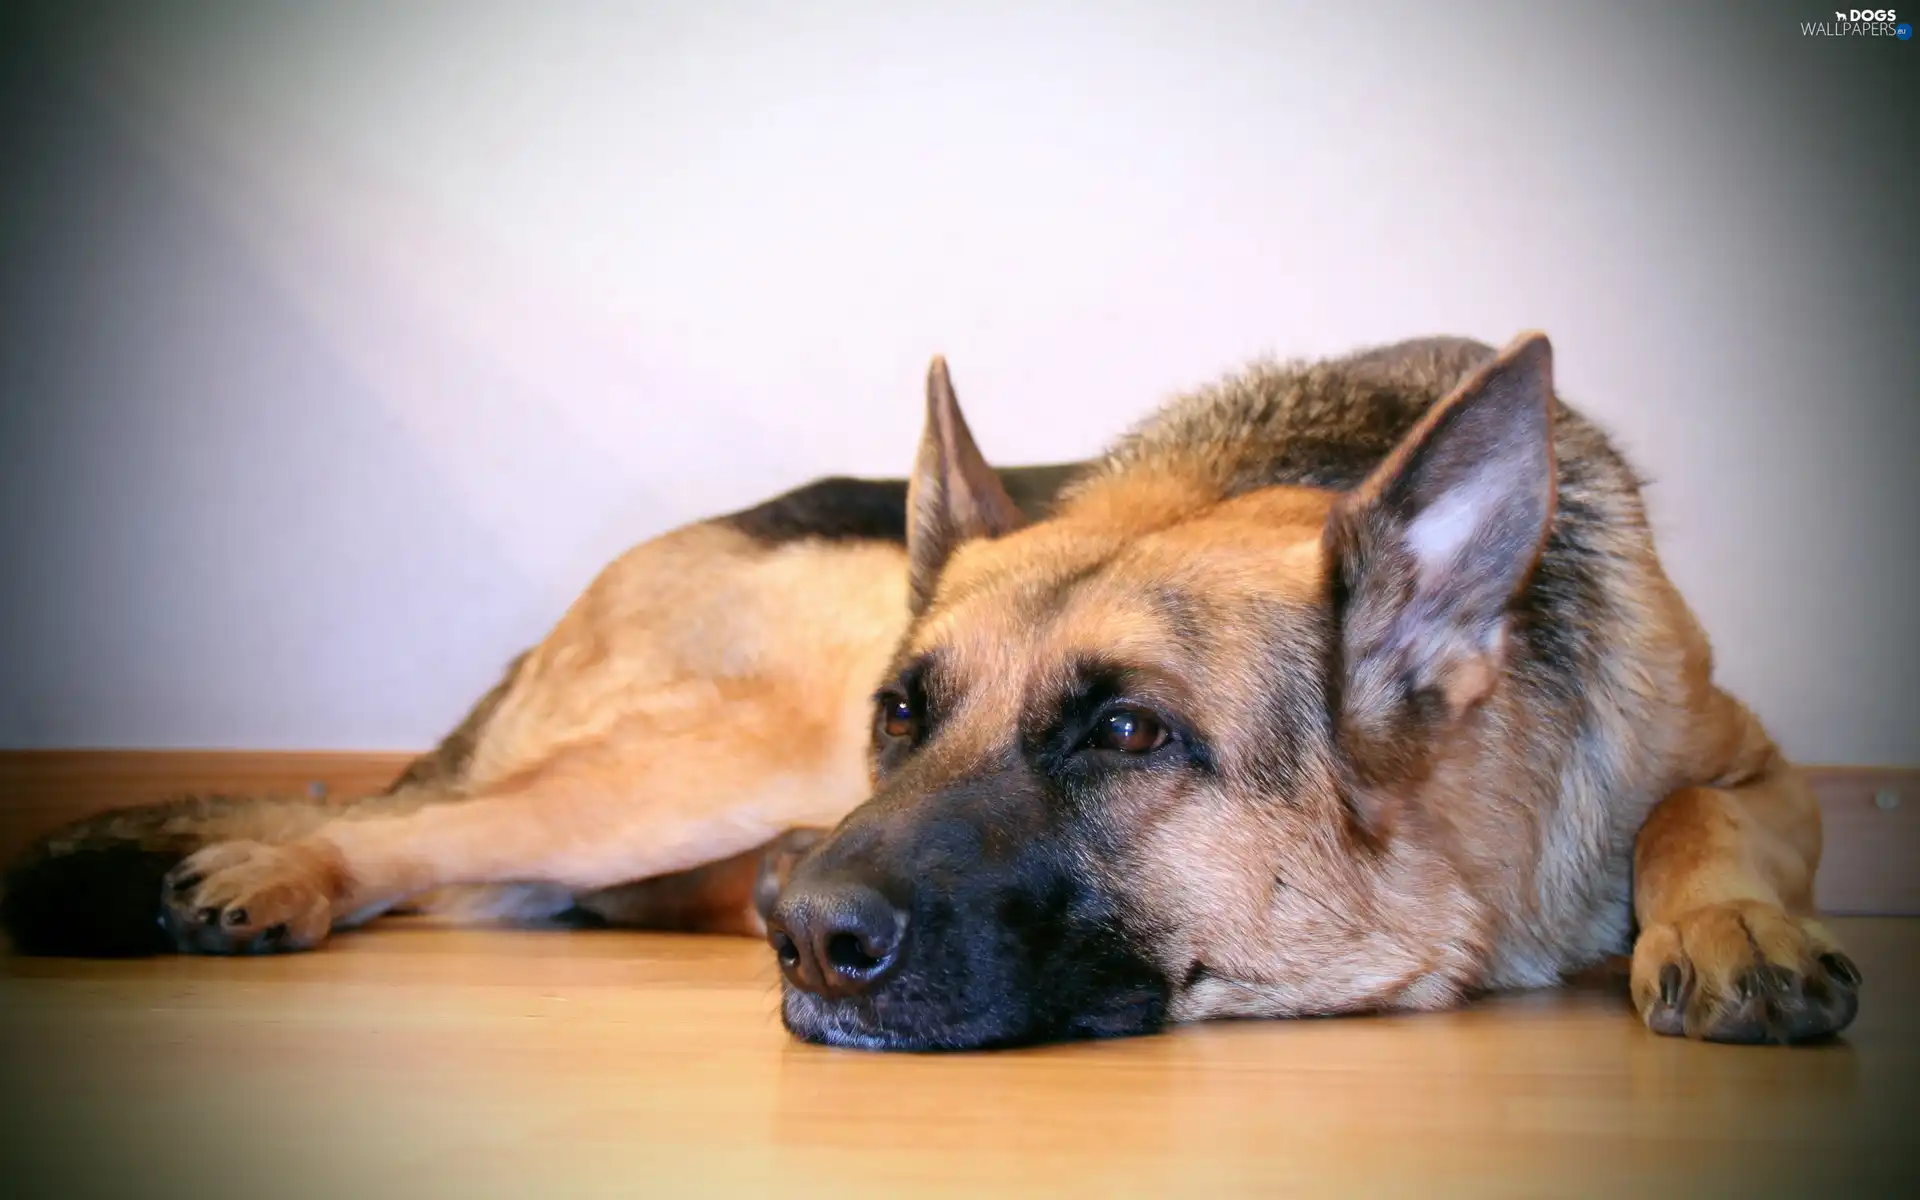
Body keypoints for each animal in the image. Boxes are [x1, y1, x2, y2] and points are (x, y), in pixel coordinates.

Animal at [0, 334, 1858, 1044]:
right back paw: (273, 871)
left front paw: (1727, 932)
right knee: (432, 841)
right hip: (711, 756)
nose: (813, 939)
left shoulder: (1756, 761)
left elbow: (1695, 825)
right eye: (906, 712)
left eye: (1128, 733)